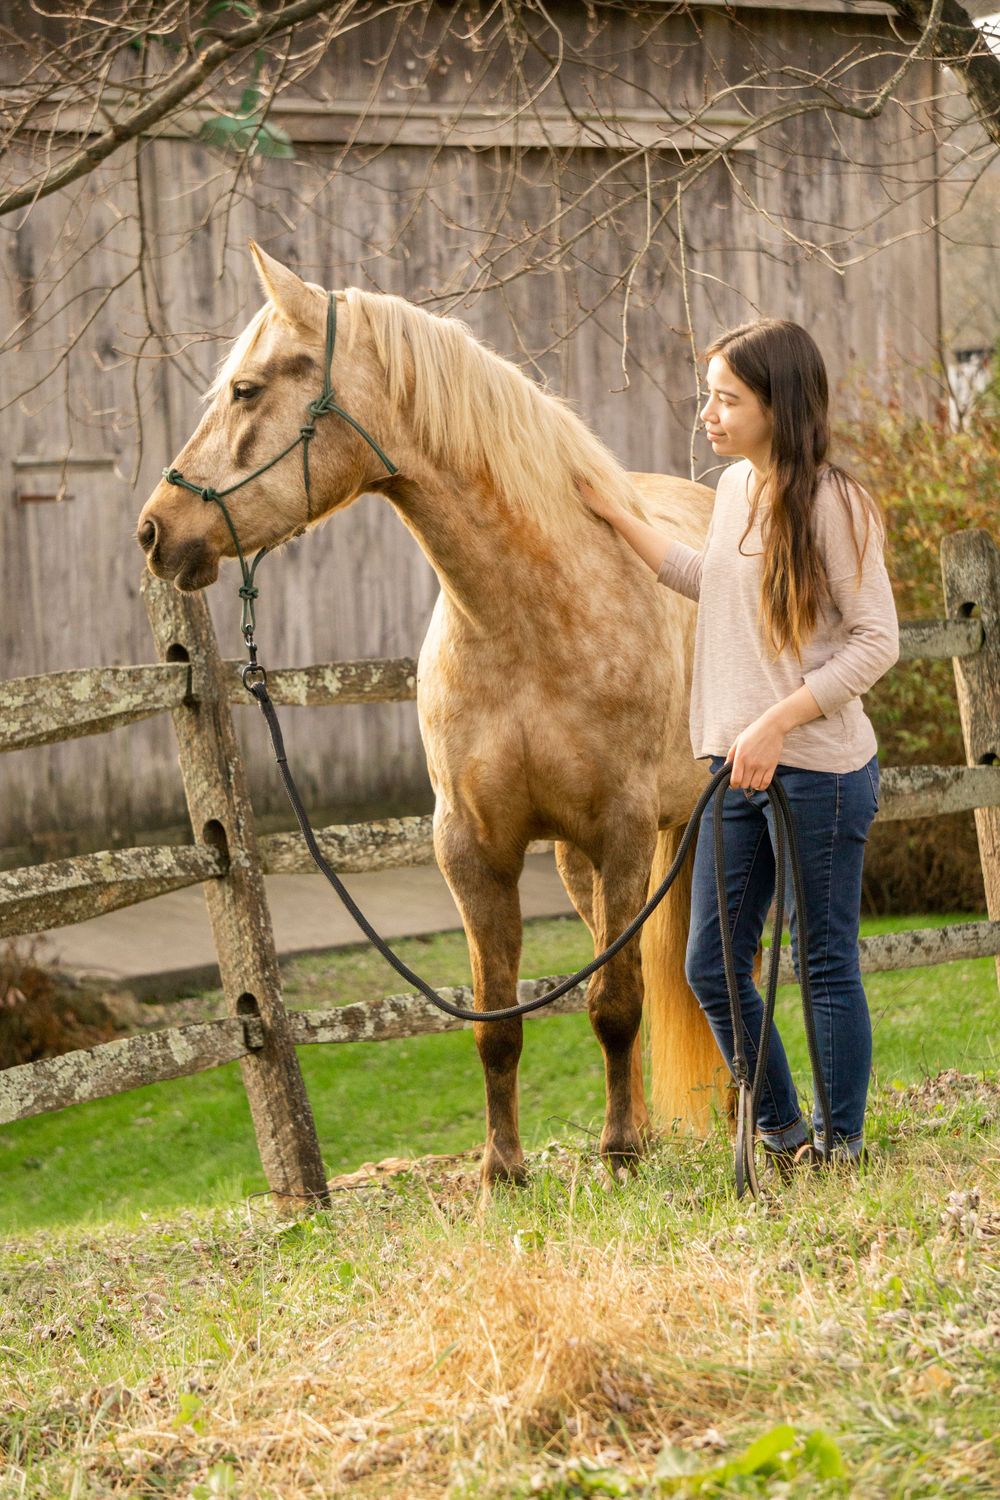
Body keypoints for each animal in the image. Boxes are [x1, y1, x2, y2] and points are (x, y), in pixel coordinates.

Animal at [137, 242, 729, 1194]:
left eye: (248, 389)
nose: (156, 530)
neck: (526, 617)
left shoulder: (625, 831)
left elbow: (614, 1004)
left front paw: (618, 1157)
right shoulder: (475, 850)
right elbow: (501, 1023)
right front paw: (505, 1172)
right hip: (577, 862)